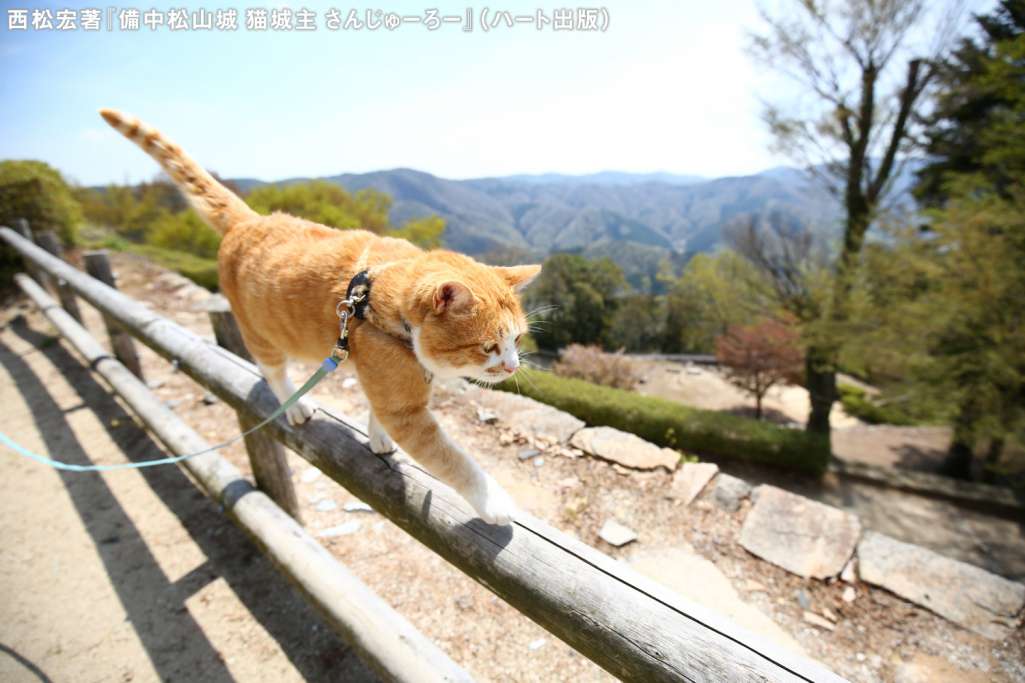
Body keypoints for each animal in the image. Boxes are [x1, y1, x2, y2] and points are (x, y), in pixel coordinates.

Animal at [99, 109, 541, 520]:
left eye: (517, 339)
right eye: (488, 347)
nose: (512, 366)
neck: (383, 302)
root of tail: (252, 220)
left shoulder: (386, 384)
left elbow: (377, 411)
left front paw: (379, 438)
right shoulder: (405, 408)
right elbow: (454, 460)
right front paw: (494, 503)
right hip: (260, 334)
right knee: (273, 372)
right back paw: (294, 407)